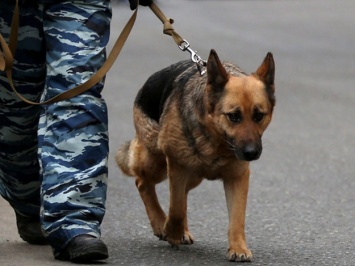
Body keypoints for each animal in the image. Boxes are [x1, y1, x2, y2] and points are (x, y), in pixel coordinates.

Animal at [116, 50, 276, 262]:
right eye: (234, 116)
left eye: (259, 116)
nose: (251, 153)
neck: (215, 141)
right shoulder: (177, 166)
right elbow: (175, 208)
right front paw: (171, 231)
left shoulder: (237, 178)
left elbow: (237, 217)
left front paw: (238, 248)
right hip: (157, 162)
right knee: (142, 183)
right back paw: (160, 223)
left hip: (193, 176)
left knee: (181, 194)